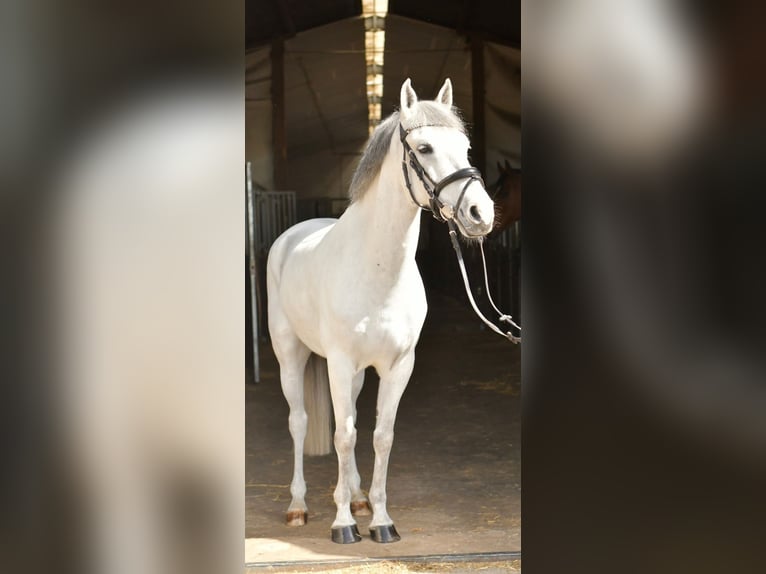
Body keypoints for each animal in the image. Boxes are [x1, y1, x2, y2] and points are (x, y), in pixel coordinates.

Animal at [266, 78, 496, 544]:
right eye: (424, 148)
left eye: (465, 147)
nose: (481, 214)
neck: (375, 268)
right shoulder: (337, 362)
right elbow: (341, 436)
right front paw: (342, 526)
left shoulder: (397, 366)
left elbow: (380, 436)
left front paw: (380, 520)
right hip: (291, 356)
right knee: (299, 421)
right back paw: (299, 507)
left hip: (354, 374)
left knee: (351, 418)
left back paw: (355, 498)